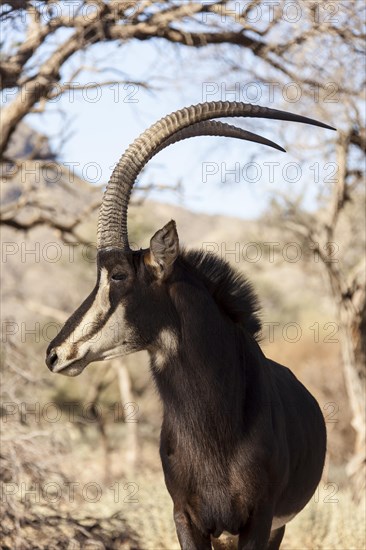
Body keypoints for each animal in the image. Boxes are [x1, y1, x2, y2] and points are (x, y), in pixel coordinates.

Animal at [44, 101, 334, 548]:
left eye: (118, 275)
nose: (55, 354)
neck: (216, 426)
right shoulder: (185, 516)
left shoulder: (260, 520)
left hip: (274, 528)